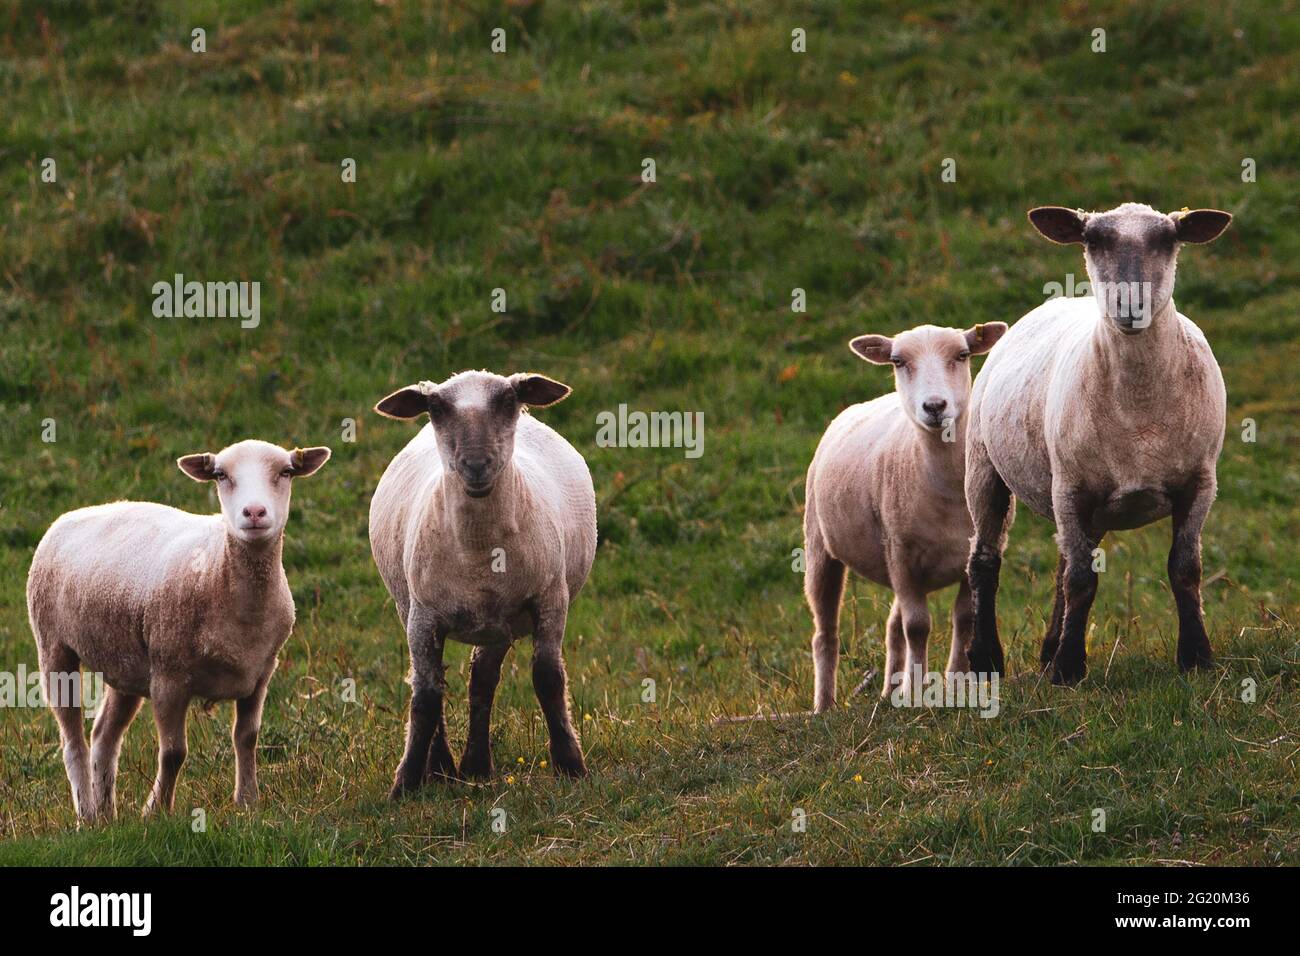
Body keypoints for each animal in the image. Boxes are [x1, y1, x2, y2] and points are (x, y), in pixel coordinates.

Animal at [26, 440, 331, 822]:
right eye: (220, 475)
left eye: (286, 472)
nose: (255, 512)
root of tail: (72, 515)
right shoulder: (169, 677)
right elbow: (173, 753)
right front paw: (155, 812)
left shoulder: (261, 673)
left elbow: (247, 737)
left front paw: (247, 802)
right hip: (54, 646)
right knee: (73, 741)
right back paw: (88, 815)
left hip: (125, 664)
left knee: (104, 737)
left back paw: (108, 815)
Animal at [370, 370, 596, 796]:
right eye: (435, 407)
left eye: (508, 400)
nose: (475, 465)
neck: (480, 555)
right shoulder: (422, 615)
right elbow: (425, 695)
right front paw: (406, 782)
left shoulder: (550, 599)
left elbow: (548, 678)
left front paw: (571, 764)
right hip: (410, 606)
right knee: (444, 681)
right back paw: (443, 767)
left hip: (498, 621)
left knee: (482, 679)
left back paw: (475, 766)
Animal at [805, 322, 1008, 712]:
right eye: (898, 361)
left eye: (962, 355)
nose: (935, 406)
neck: (946, 489)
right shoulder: (901, 553)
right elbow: (917, 627)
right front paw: (916, 693)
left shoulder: (966, 555)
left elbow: (963, 620)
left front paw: (955, 684)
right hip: (821, 545)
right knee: (826, 633)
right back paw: (824, 706)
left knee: (891, 626)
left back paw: (888, 691)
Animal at [965, 202, 1232, 684]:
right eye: (1092, 240)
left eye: (1168, 239)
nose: (1130, 304)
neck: (1139, 414)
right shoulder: (1070, 487)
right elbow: (1081, 581)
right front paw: (1069, 668)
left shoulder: (1200, 483)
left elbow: (1185, 569)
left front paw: (1196, 657)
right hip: (984, 464)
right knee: (985, 560)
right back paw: (985, 660)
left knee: (1061, 562)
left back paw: (1047, 648)